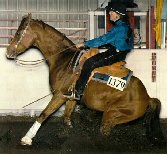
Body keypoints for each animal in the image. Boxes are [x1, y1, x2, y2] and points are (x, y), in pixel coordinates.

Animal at [5, 13, 165, 146]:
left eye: (18, 33)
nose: (8, 52)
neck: (64, 60)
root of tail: (148, 97)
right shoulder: (70, 98)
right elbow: (66, 118)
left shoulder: (59, 95)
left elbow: (44, 114)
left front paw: (27, 138)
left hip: (112, 114)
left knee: (105, 130)